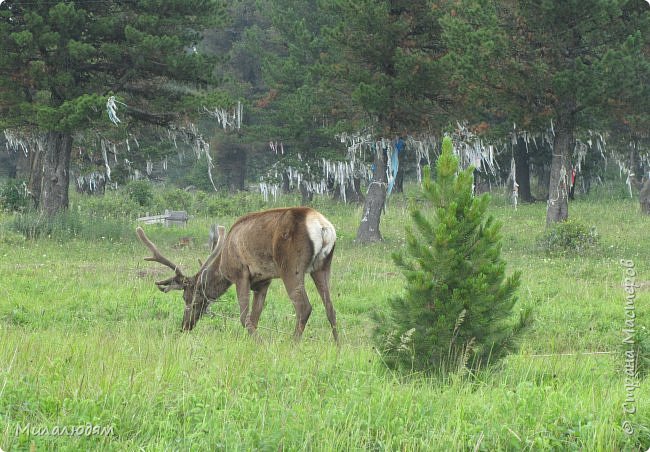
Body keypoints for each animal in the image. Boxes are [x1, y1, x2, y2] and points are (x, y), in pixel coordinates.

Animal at [137, 207, 340, 342]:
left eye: (190, 300)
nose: (185, 326)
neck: (222, 263)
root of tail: (322, 226)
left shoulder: (240, 274)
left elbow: (244, 317)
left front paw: (260, 343)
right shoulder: (263, 281)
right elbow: (255, 318)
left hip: (290, 267)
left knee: (304, 307)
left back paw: (292, 344)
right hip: (323, 265)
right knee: (330, 308)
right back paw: (338, 346)